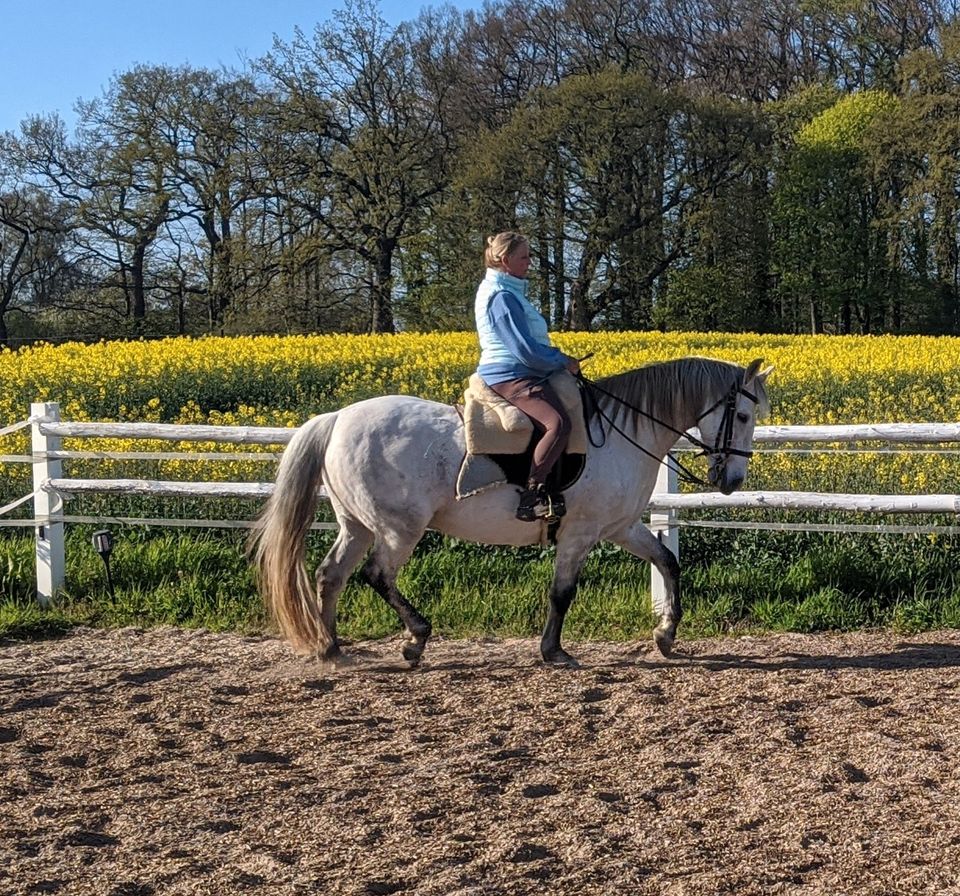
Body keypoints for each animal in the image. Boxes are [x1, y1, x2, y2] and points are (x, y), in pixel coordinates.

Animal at [249, 356, 772, 664]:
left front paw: (665, 636)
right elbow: (562, 593)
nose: (731, 482)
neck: (624, 431)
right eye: (744, 415)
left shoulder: (620, 527)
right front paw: (553, 651)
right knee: (377, 575)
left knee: (330, 575)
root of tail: (337, 418)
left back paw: (331, 648)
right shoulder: (580, 533)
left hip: (356, 524)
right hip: (398, 528)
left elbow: (668, 562)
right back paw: (415, 637)